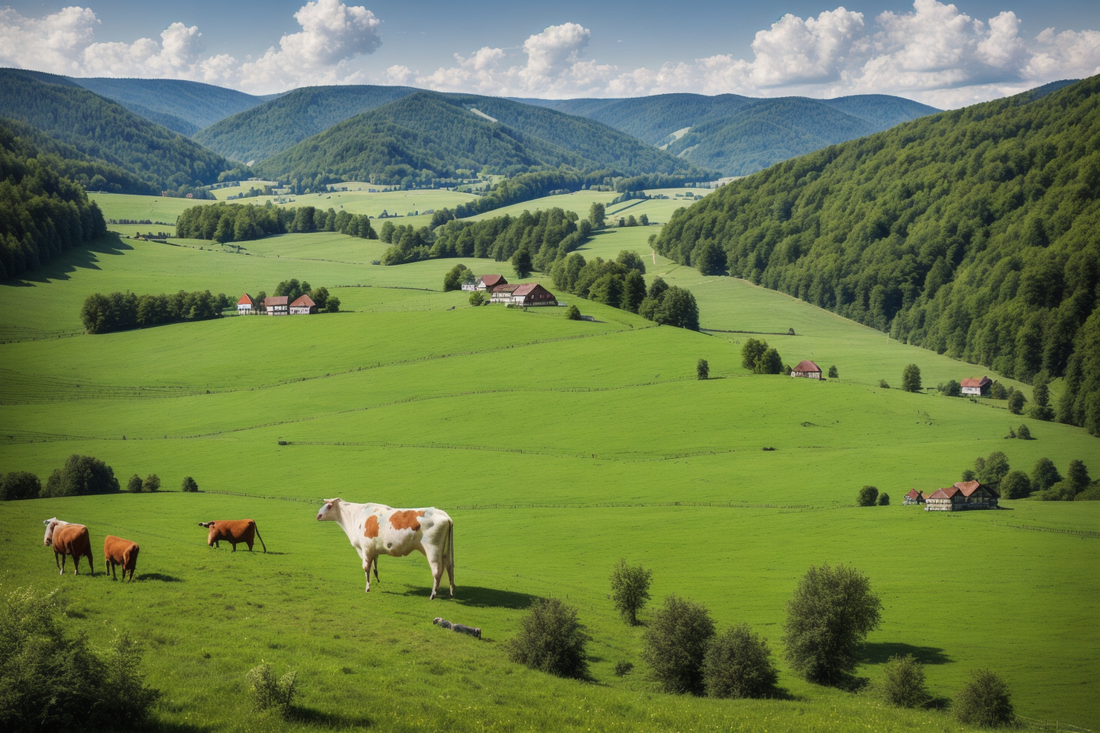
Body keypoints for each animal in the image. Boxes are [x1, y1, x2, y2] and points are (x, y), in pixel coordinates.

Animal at [314, 497, 455, 598]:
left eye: (329, 505)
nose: (318, 515)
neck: (356, 516)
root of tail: (444, 515)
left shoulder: (365, 549)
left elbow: (366, 567)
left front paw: (367, 588)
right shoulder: (373, 549)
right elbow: (374, 566)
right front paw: (376, 579)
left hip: (433, 549)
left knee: (437, 570)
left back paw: (433, 594)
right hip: (445, 551)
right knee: (449, 567)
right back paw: (451, 591)